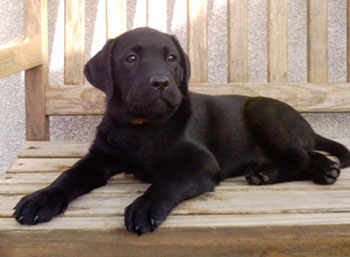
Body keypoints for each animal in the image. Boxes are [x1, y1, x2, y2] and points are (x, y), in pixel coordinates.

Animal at [13, 27, 350, 233]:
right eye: (130, 58)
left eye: (171, 58)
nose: (161, 83)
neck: (142, 128)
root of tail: (304, 122)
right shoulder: (99, 157)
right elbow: (68, 176)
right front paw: (39, 200)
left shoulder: (200, 162)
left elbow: (168, 181)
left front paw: (144, 206)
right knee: (311, 155)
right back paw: (323, 171)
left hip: (264, 112)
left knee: (299, 156)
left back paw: (268, 172)